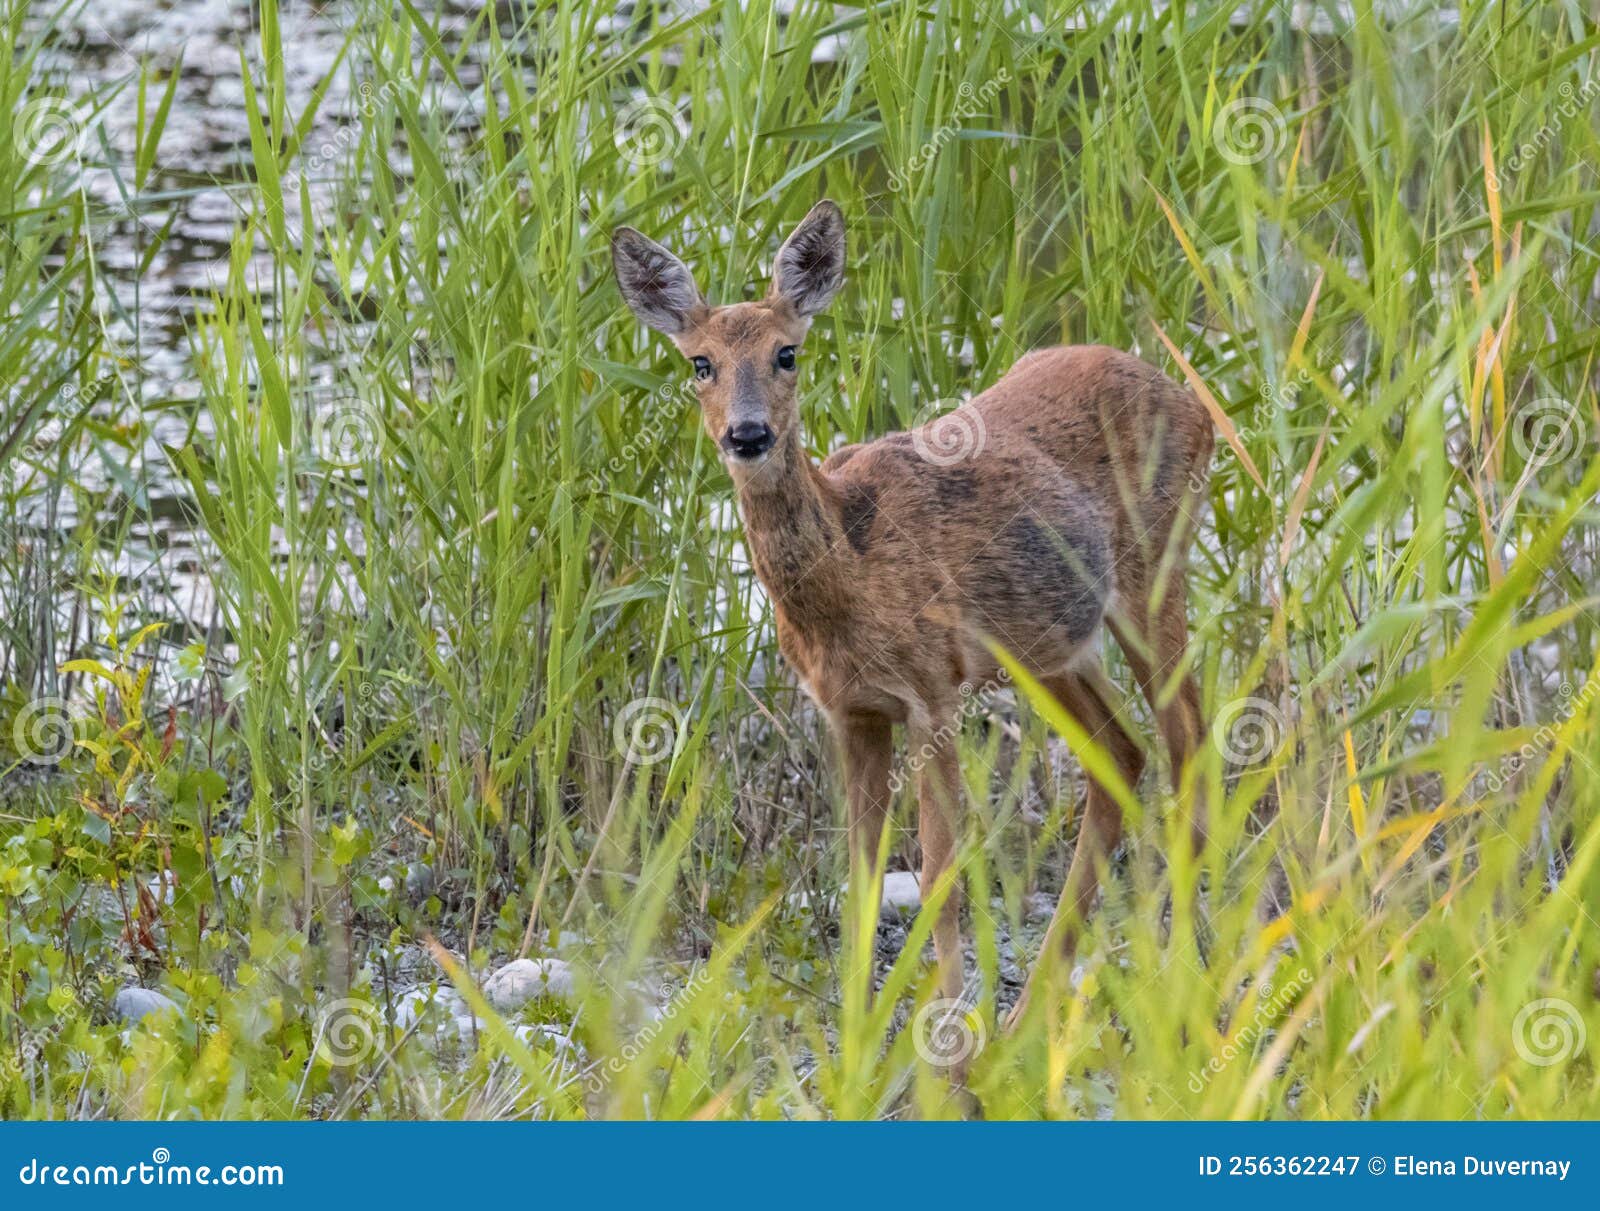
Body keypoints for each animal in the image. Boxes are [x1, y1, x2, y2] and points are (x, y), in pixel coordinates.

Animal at [611, 199, 1213, 1035]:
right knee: (1122, 751)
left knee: (1189, 738)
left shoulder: (933, 691)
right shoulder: (852, 710)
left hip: (1155, 575)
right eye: (700, 363)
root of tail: (1197, 406)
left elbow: (941, 874)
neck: (848, 578)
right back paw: (1034, 1013)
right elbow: (861, 880)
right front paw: (862, 1042)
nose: (749, 434)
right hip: (1053, 644)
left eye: (787, 353)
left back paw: (1182, 986)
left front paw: (953, 1045)